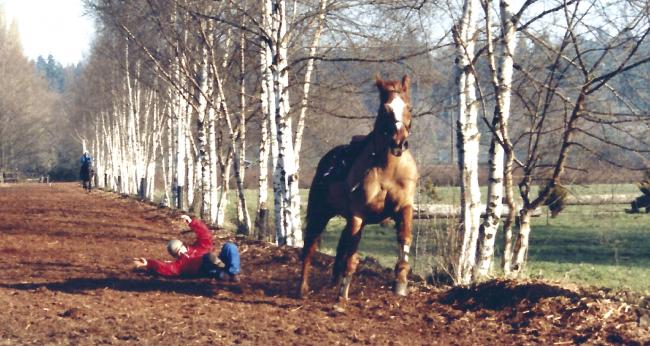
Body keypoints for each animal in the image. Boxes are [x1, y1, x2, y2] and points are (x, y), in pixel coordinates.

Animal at [300, 75, 418, 302]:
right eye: (385, 109)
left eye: (408, 107)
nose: (398, 143)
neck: (388, 169)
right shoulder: (359, 215)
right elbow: (352, 254)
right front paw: (342, 296)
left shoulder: (404, 207)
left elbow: (404, 238)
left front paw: (400, 282)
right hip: (320, 213)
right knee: (310, 247)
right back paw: (303, 287)